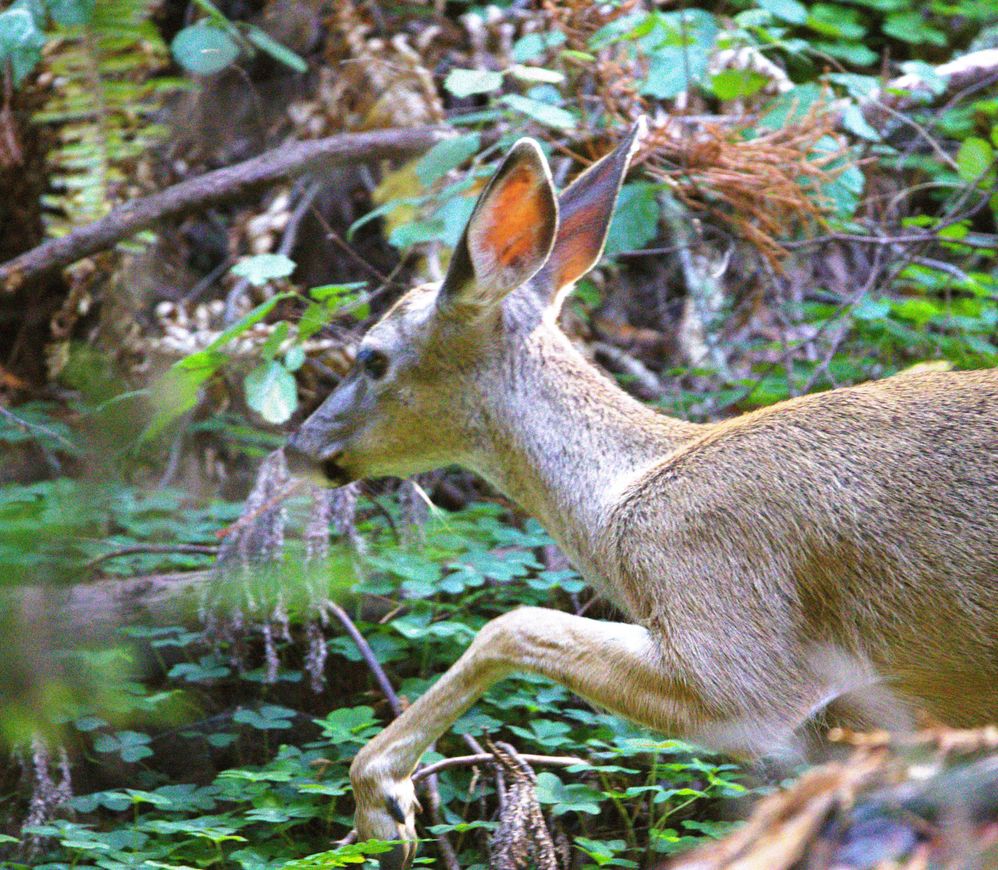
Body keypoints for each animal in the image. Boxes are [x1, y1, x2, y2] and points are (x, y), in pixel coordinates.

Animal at [286, 119, 998, 869]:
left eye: (372, 357)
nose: (298, 447)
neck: (624, 495)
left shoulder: (741, 646)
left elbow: (511, 625)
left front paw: (382, 804)